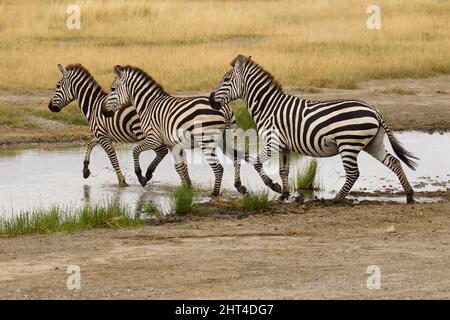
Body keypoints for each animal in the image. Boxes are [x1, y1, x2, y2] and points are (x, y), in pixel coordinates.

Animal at [102, 64, 250, 195]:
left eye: (113, 89)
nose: (104, 112)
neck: (148, 105)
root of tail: (224, 108)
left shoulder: (154, 138)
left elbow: (135, 150)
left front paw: (142, 176)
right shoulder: (172, 144)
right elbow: (180, 167)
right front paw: (186, 187)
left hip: (206, 141)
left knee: (218, 168)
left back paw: (214, 194)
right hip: (225, 139)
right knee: (236, 158)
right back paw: (239, 186)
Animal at [210, 54, 418, 202]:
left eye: (226, 80)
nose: (211, 101)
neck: (268, 106)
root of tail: (374, 110)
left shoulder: (273, 142)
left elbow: (257, 163)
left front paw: (273, 186)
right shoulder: (284, 146)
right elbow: (284, 171)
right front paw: (284, 195)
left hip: (348, 144)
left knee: (354, 173)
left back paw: (337, 199)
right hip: (373, 143)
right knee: (394, 162)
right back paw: (409, 195)